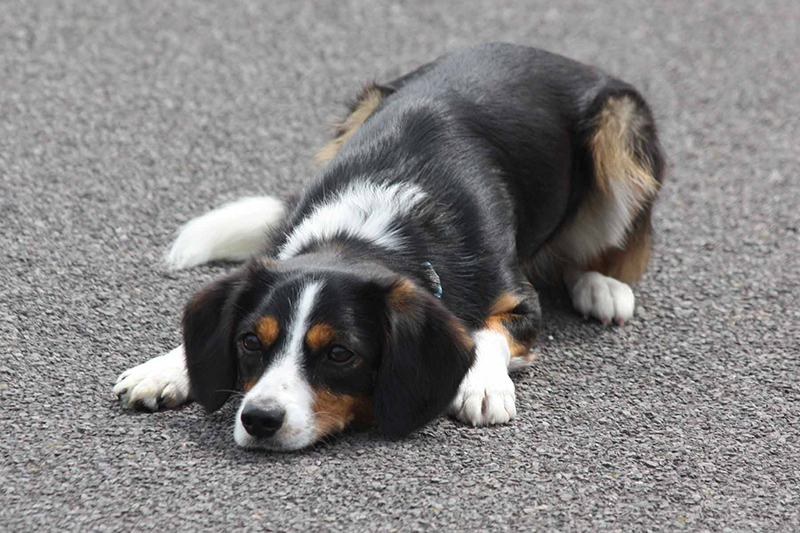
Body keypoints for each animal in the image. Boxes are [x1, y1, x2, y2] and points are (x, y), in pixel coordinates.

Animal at [114, 43, 664, 451]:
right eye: (250, 341)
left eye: (339, 353)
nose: (259, 419)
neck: (365, 232)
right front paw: (168, 367)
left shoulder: (520, 301)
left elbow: (487, 331)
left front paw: (483, 383)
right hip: (365, 103)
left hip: (619, 127)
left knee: (597, 247)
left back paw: (602, 286)